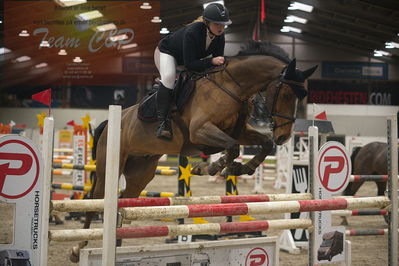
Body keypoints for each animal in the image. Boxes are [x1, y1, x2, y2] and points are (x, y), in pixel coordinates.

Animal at [69, 41, 318, 262]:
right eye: (286, 94)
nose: (284, 137)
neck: (233, 86)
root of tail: (109, 123)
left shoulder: (239, 132)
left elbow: (262, 144)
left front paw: (242, 167)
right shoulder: (200, 131)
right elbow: (232, 147)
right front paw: (209, 167)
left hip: (141, 172)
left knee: (123, 202)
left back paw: (117, 246)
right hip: (108, 166)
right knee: (95, 201)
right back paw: (78, 248)